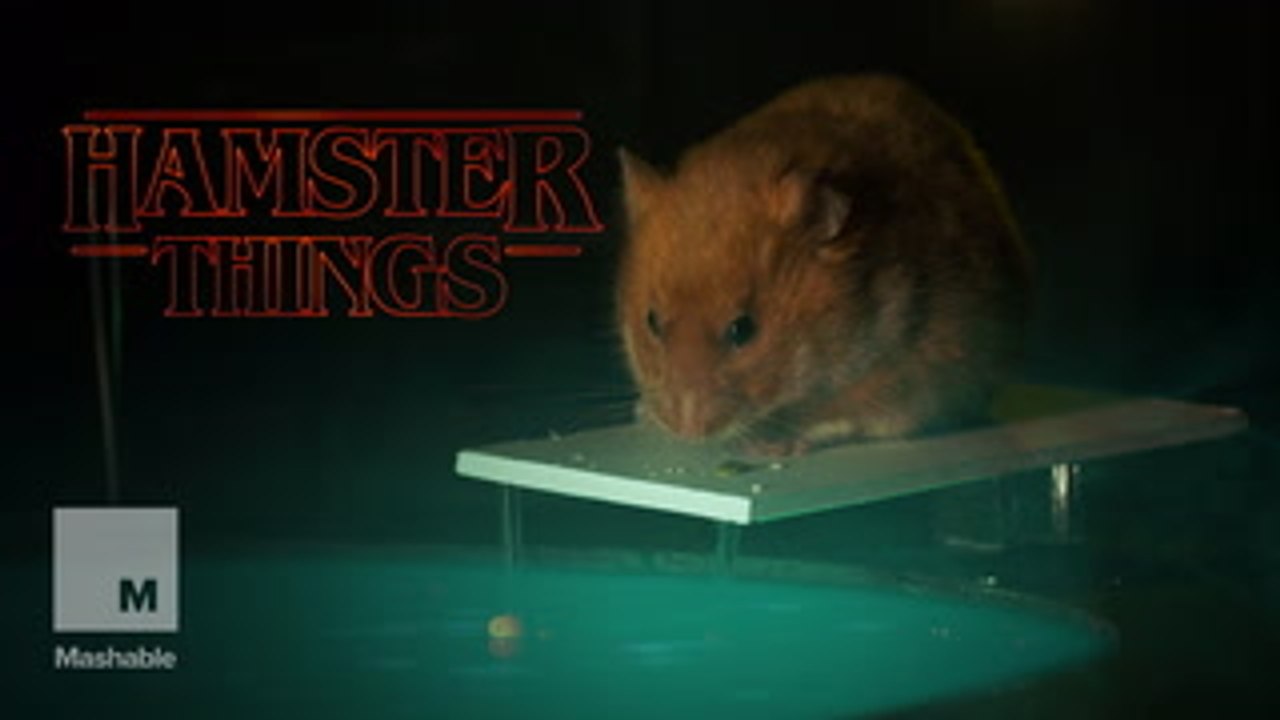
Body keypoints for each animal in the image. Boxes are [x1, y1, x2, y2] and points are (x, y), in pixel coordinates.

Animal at [616, 75, 1032, 455]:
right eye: (651, 322)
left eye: (742, 330)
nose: (686, 431)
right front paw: (644, 415)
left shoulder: (905, 377)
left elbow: (840, 420)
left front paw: (775, 445)